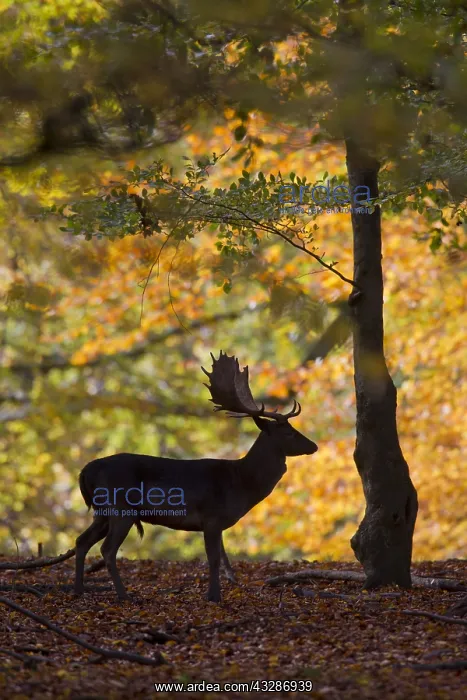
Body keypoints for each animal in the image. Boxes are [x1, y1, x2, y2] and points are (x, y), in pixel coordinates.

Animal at [74, 351, 318, 602]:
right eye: (288, 431)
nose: (314, 446)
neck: (240, 482)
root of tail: (85, 471)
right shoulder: (211, 517)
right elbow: (214, 559)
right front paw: (214, 596)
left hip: (102, 512)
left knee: (81, 541)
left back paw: (79, 589)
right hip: (121, 508)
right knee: (107, 549)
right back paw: (124, 595)